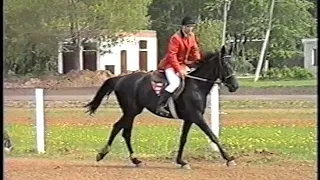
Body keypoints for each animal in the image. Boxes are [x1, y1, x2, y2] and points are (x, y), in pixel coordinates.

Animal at [85, 45, 240, 169]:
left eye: (234, 64)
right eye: (225, 65)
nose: (235, 86)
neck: (196, 86)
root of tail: (121, 78)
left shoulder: (189, 119)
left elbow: (183, 139)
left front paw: (181, 161)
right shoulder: (197, 117)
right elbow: (212, 135)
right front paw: (229, 158)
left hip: (132, 112)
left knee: (125, 132)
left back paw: (135, 160)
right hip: (131, 111)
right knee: (118, 128)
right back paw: (103, 154)